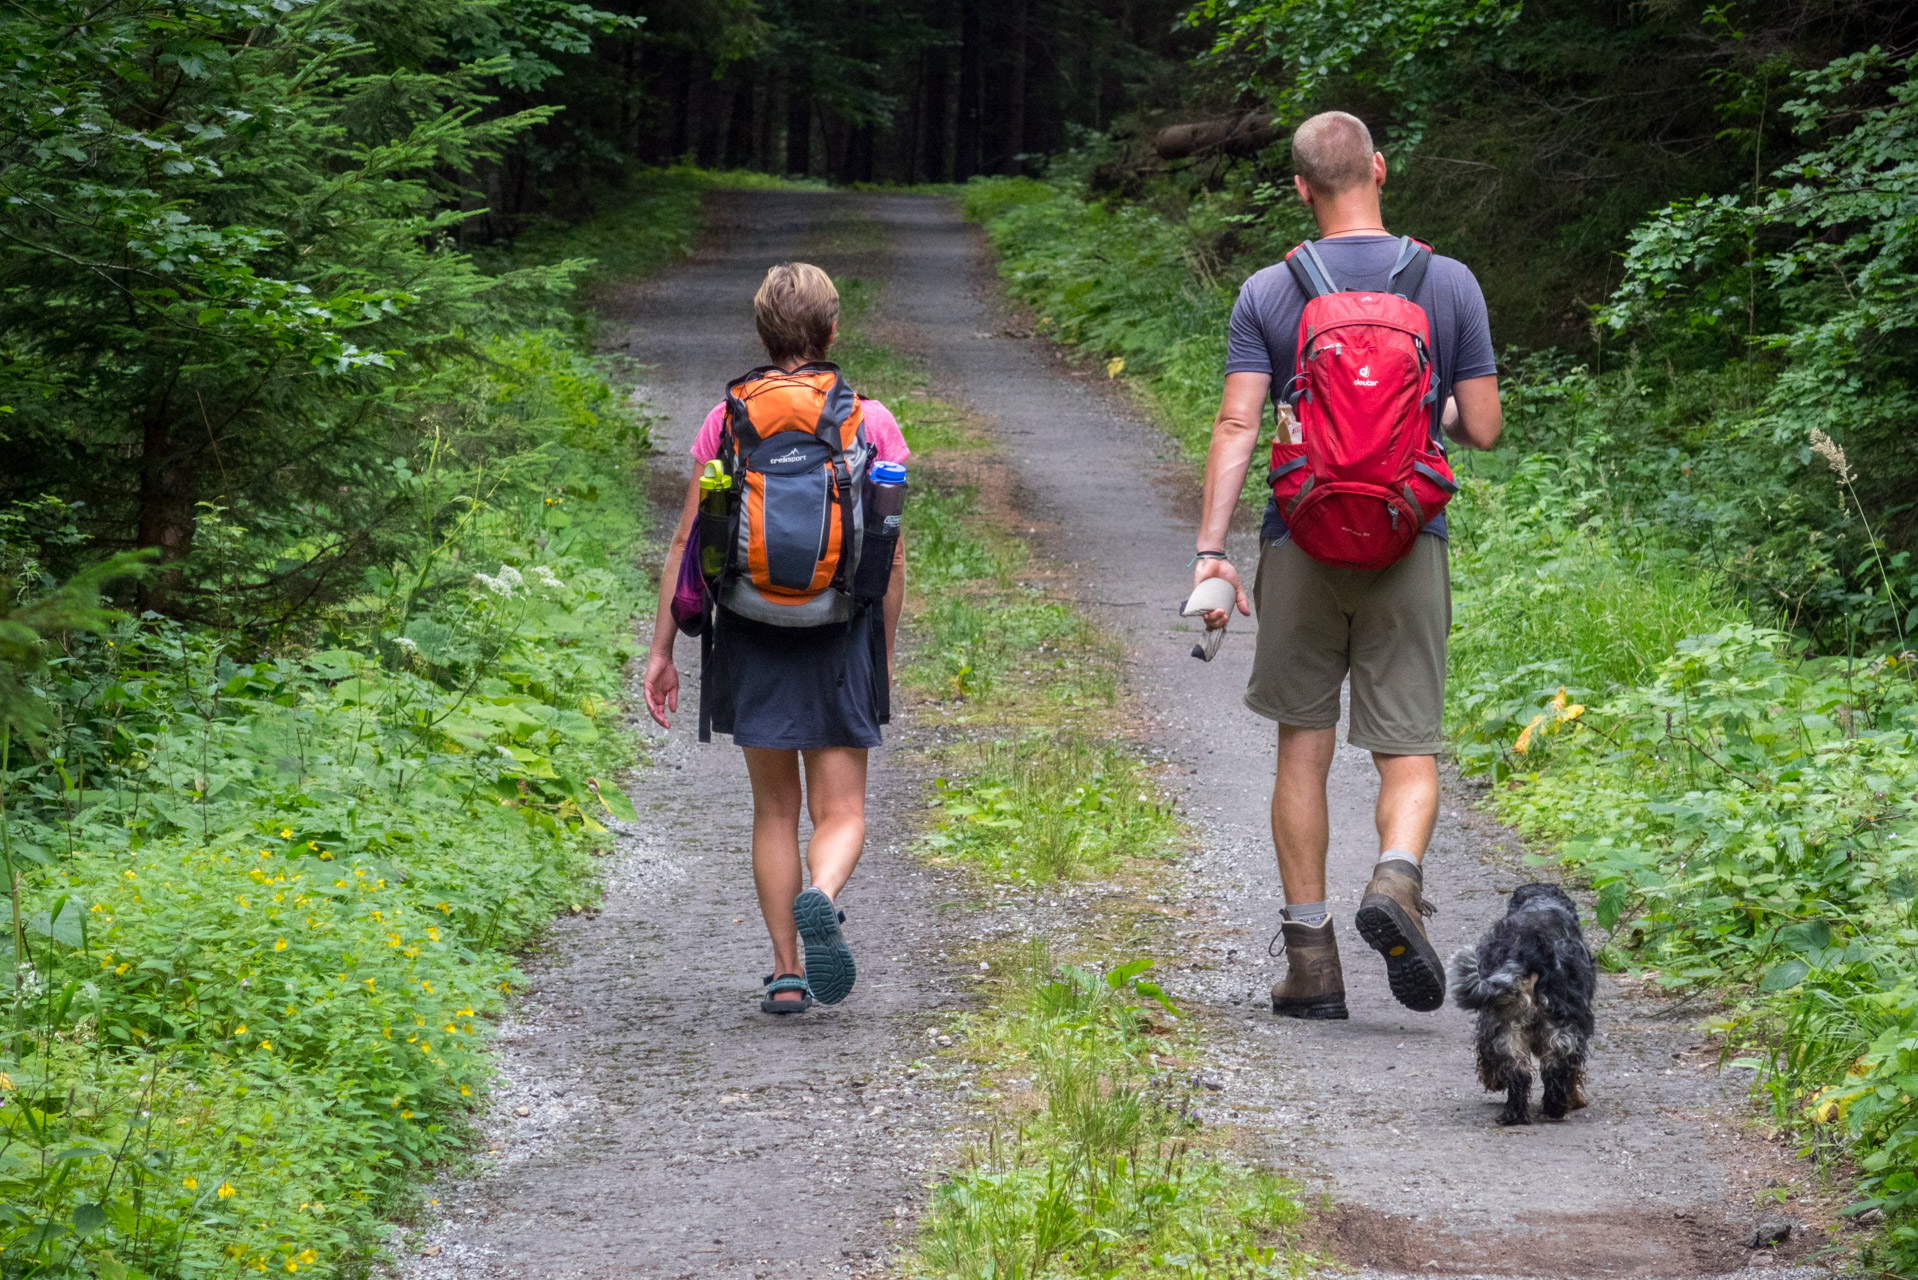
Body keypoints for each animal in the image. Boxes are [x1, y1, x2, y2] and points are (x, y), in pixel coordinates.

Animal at [1450, 886, 1588, 1128]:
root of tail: (1526, 953)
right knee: (1552, 1069)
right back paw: (1552, 1109)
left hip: (1506, 1023)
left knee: (1526, 1072)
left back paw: (1520, 1114)